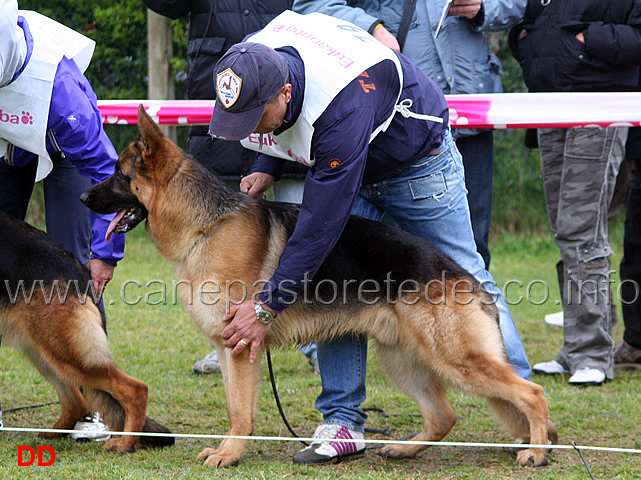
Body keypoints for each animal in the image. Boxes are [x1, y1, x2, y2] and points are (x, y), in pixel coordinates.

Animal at [0, 212, 174, 452]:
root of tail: (80, 274)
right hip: (46, 353)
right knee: (77, 402)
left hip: (70, 355)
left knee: (135, 390)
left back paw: (125, 443)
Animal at [81, 106, 556, 468]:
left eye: (119, 175)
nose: (84, 198)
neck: (207, 225)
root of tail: (466, 278)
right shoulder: (225, 345)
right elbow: (235, 405)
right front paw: (228, 450)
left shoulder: (240, 347)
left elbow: (239, 410)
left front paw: (229, 454)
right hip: (400, 360)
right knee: (444, 415)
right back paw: (405, 449)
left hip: (455, 359)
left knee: (530, 392)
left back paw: (535, 451)